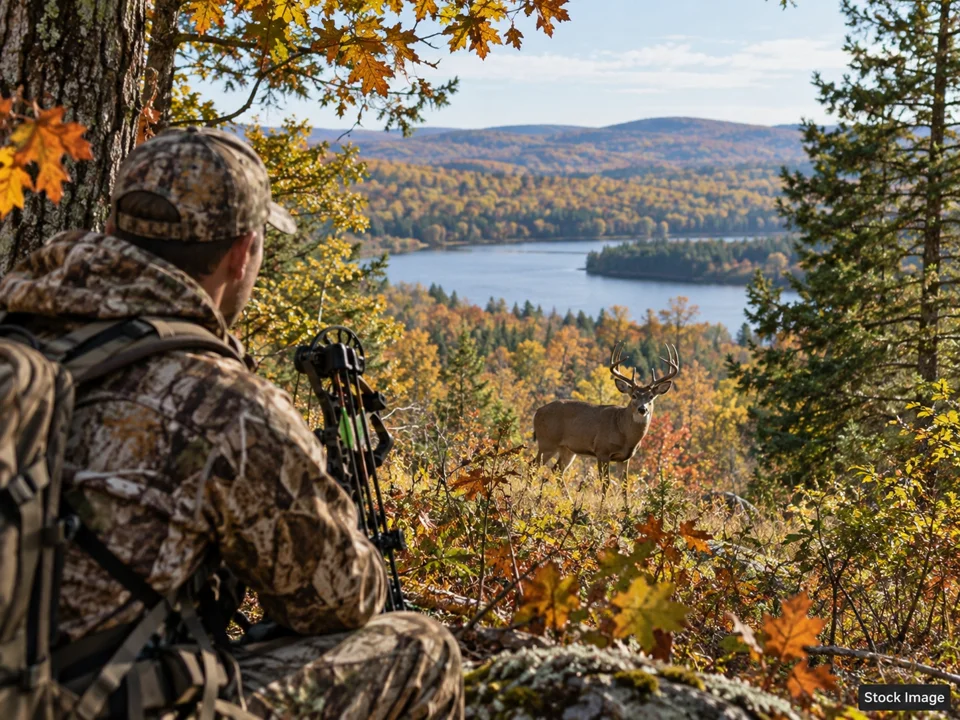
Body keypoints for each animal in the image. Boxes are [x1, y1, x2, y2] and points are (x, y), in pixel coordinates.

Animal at [533, 342, 679, 491]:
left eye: (651, 397)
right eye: (633, 395)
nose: (642, 409)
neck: (624, 433)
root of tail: (537, 412)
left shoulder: (624, 458)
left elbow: (625, 486)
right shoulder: (602, 450)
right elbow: (606, 483)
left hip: (567, 449)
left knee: (557, 470)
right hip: (547, 442)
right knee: (533, 465)